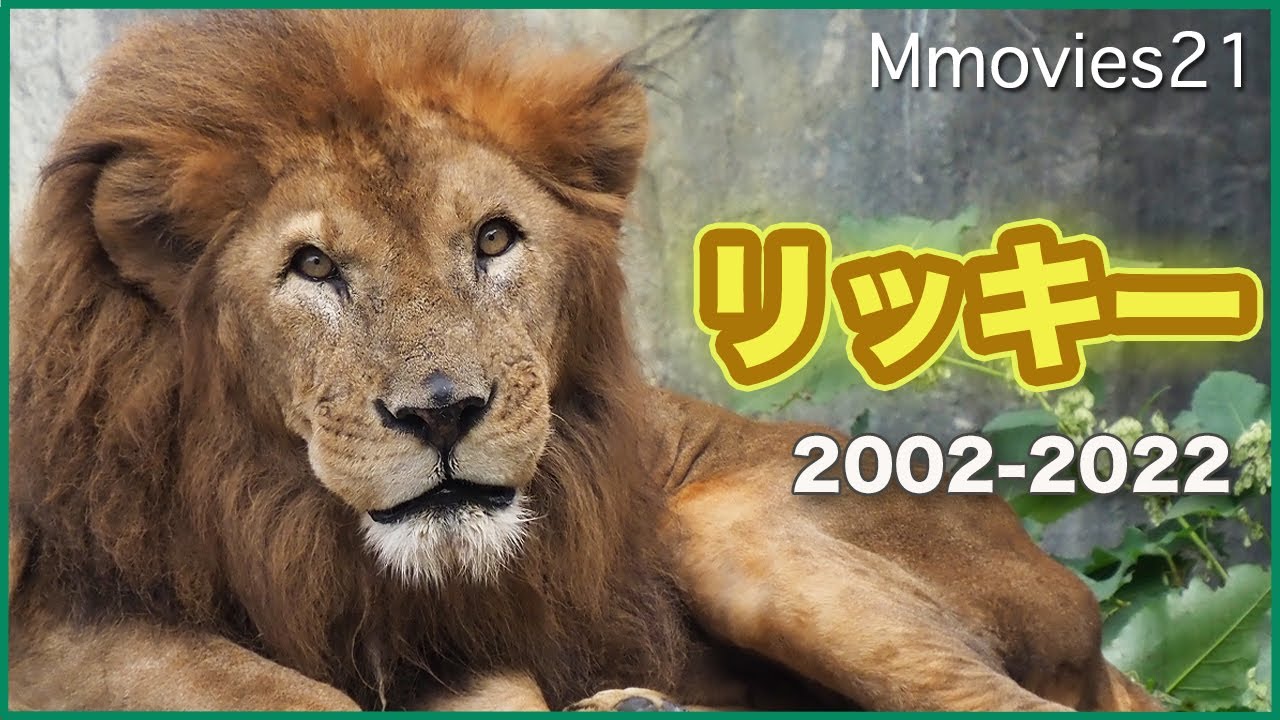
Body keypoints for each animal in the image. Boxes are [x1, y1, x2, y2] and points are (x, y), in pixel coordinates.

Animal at [8, 10, 1162, 712]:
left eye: (493, 238)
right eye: (311, 265)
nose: (442, 412)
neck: (270, 508)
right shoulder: (72, 622)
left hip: (727, 521)